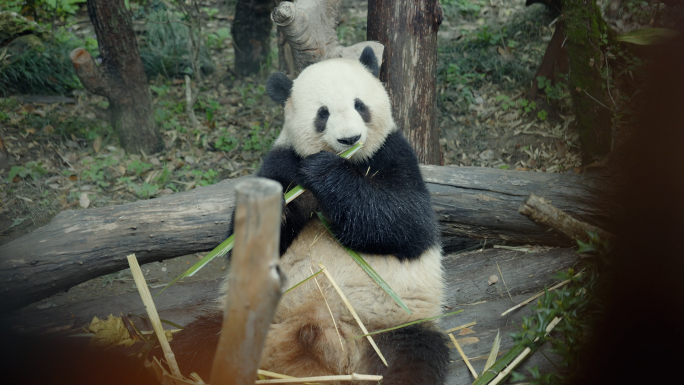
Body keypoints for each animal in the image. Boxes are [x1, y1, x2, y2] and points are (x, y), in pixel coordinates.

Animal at [171, 48, 448, 384]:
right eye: (323, 113)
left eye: (360, 105)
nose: (349, 139)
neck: (350, 161)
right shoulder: (281, 162)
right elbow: (241, 245)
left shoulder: (393, 153)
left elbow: (408, 221)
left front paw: (324, 172)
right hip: (244, 318)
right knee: (197, 338)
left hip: (391, 326)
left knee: (412, 359)